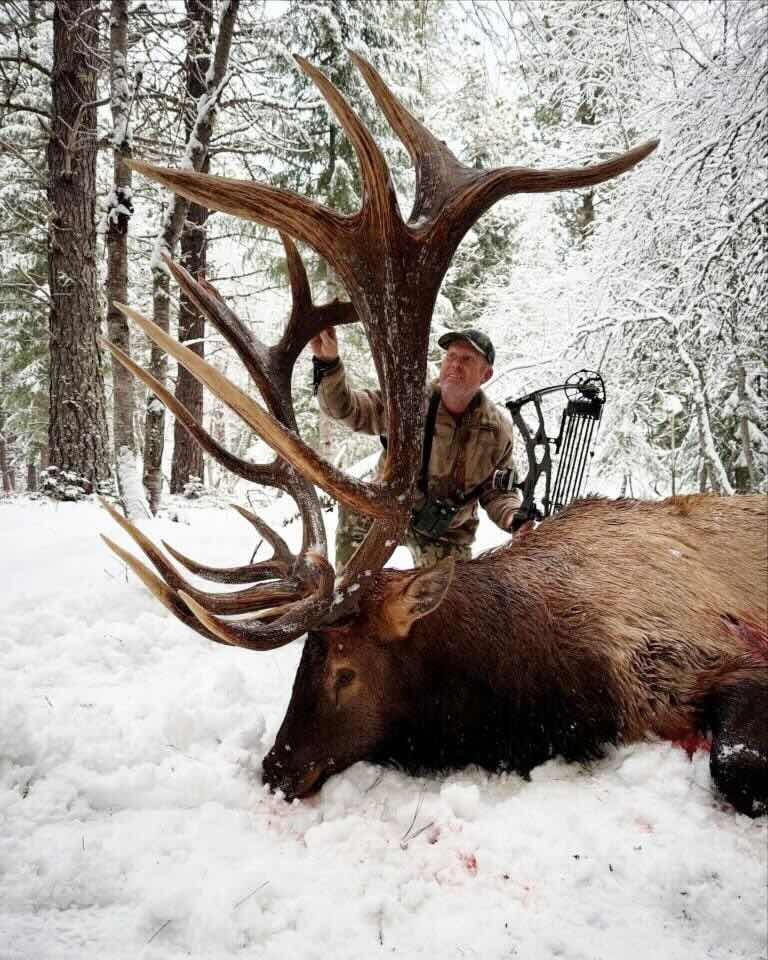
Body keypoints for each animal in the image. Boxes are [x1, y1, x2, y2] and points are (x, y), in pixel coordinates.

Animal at [99, 53, 768, 817]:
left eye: (344, 669)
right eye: (301, 663)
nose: (276, 768)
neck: (562, 680)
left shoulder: (725, 648)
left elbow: (736, 764)